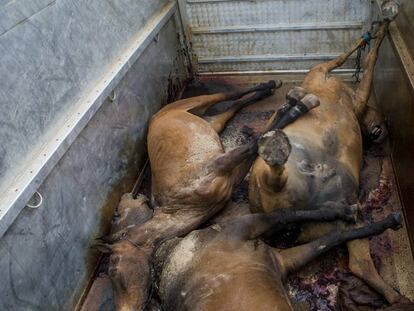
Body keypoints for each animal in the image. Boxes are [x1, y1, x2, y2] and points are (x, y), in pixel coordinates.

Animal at [249, 4, 408, 308]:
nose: (380, 132)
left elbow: (360, 57)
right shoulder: (337, 81)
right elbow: (362, 58)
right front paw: (382, 24)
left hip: (333, 215)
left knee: (357, 259)